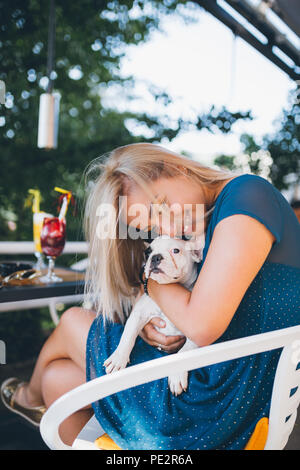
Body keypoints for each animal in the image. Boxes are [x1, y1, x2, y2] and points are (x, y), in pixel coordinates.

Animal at [103, 235, 204, 396]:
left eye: (176, 250)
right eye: (148, 252)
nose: (155, 257)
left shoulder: (197, 332)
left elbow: (184, 351)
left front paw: (176, 375)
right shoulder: (138, 314)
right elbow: (128, 336)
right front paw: (118, 358)